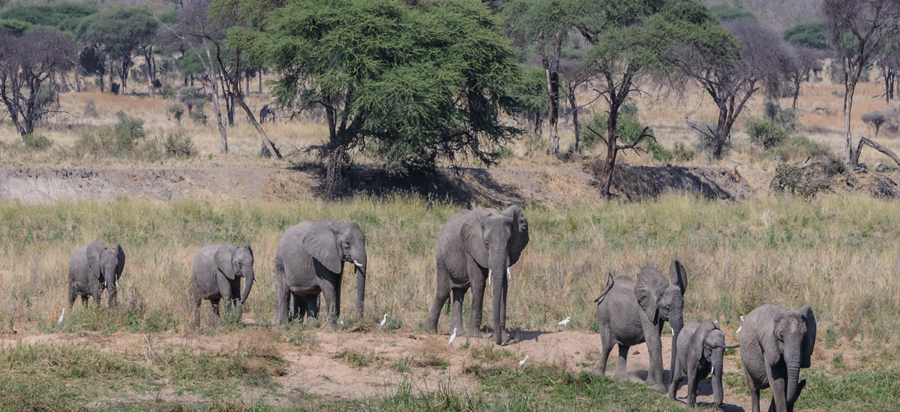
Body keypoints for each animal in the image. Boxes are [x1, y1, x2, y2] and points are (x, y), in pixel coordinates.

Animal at [428, 205, 532, 344]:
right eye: (486, 242)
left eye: (510, 241)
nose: (497, 340)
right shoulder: (470, 248)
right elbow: (478, 282)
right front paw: (474, 336)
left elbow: (504, 286)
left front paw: (505, 337)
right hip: (441, 259)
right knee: (443, 292)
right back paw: (431, 331)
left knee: (459, 293)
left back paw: (459, 333)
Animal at [596, 260, 684, 392]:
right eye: (667, 308)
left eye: (683, 306)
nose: (673, 383)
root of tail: (606, 287)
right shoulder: (644, 311)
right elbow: (654, 341)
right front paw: (659, 389)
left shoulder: (656, 313)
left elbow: (652, 342)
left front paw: (649, 384)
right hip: (603, 313)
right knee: (607, 345)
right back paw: (598, 375)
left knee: (624, 346)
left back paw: (620, 378)